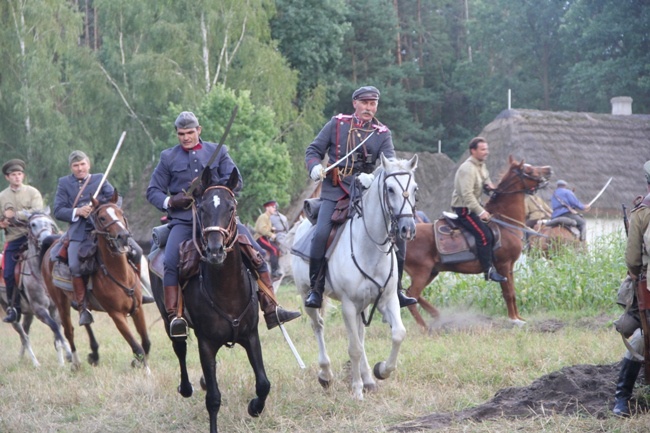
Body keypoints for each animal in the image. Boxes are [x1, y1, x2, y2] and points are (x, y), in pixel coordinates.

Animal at [41, 192, 151, 372]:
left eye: (121, 213)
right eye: (102, 217)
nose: (123, 236)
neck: (120, 274)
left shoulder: (137, 309)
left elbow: (146, 343)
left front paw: (140, 365)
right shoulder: (117, 315)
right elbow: (137, 347)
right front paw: (144, 370)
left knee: (84, 317)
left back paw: (94, 353)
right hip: (60, 302)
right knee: (69, 331)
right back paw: (76, 363)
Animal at [149, 167, 268, 432]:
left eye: (231, 208)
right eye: (202, 208)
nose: (215, 250)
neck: (227, 291)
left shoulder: (251, 335)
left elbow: (263, 383)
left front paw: (254, 408)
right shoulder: (206, 344)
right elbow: (213, 398)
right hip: (168, 320)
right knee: (180, 349)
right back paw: (186, 387)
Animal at [292, 154, 418, 398]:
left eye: (415, 188)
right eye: (390, 189)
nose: (407, 229)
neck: (370, 245)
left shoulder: (388, 299)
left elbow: (398, 333)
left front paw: (381, 371)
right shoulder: (348, 305)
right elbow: (354, 348)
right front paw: (357, 390)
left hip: (364, 304)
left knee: (360, 333)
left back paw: (368, 378)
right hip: (306, 295)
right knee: (318, 326)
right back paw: (326, 374)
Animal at [402, 155, 548, 328]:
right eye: (529, 170)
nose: (548, 170)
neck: (504, 223)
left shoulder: (510, 267)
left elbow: (512, 291)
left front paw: (519, 317)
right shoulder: (503, 265)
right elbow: (507, 292)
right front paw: (514, 319)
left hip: (431, 272)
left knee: (413, 295)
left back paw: (437, 315)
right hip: (421, 272)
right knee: (411, 295)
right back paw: (425, 327)